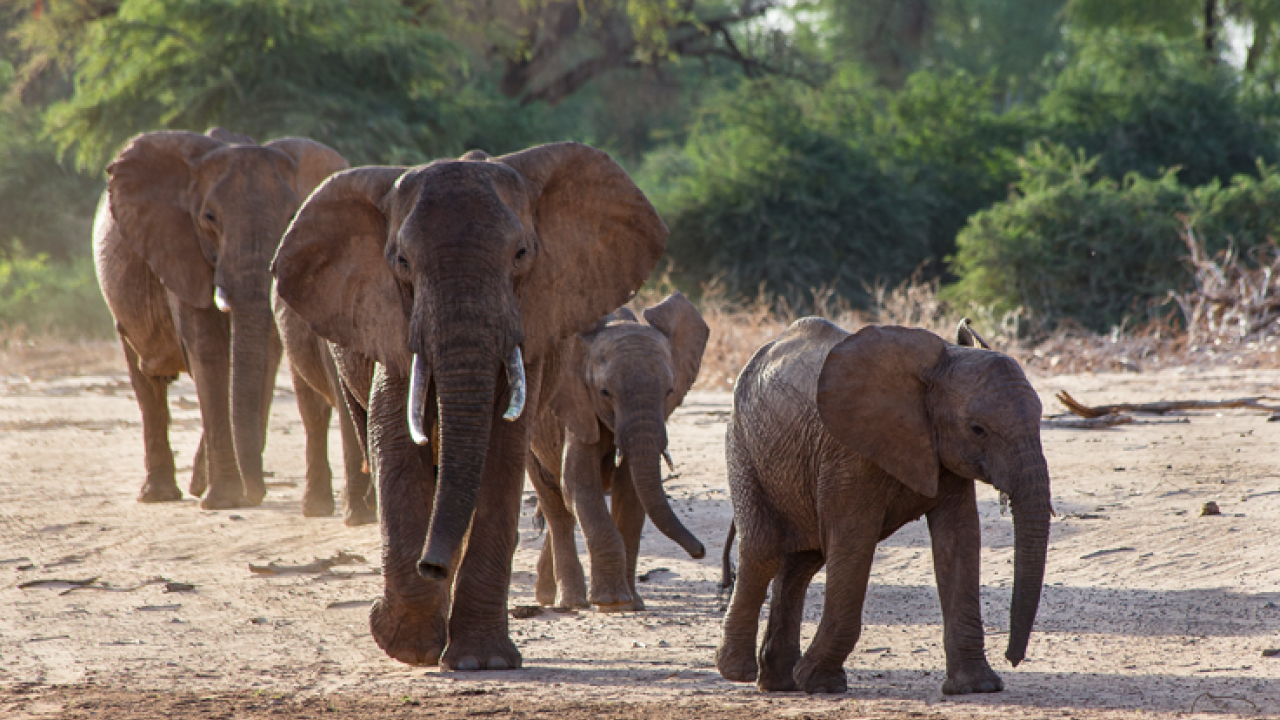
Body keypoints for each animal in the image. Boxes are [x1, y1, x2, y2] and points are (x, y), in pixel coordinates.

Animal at [94, 127, 349, 510]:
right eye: (210, 218)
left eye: (294, 216)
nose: (257, 493)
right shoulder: (180, 247)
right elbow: (209, 350)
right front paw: (227, 499)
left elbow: (263, 356)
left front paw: (235, 494)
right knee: (146, 381)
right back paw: (160, 495)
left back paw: (197, 484)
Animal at [271, 142, 667, 671]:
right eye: (401, 262)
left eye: (521, 255)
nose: (430, 565)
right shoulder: (390, 321)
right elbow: (395, 442)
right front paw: (408, 647)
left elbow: (500, 454)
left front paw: (482, 662)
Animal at [526, 291, 709, 612]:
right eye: (604, 393)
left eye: (669, 391)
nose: (700, 551)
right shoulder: (576, 402)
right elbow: (579, 484)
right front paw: (611, 602)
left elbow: (631, 491)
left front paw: (631, 603)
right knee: (554, 502)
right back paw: (568, 602)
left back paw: (549, 596)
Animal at [716, 318, 1052, 695]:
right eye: (978, 429)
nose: (1012, 657)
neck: (937, 366)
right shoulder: (849, 453)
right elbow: (853, 541)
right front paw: (821, 681)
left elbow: (958, 538)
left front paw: (975, 687)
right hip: (743, 446)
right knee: (763, 551)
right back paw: (738, 672)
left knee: (801, 563)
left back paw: (780, 682)